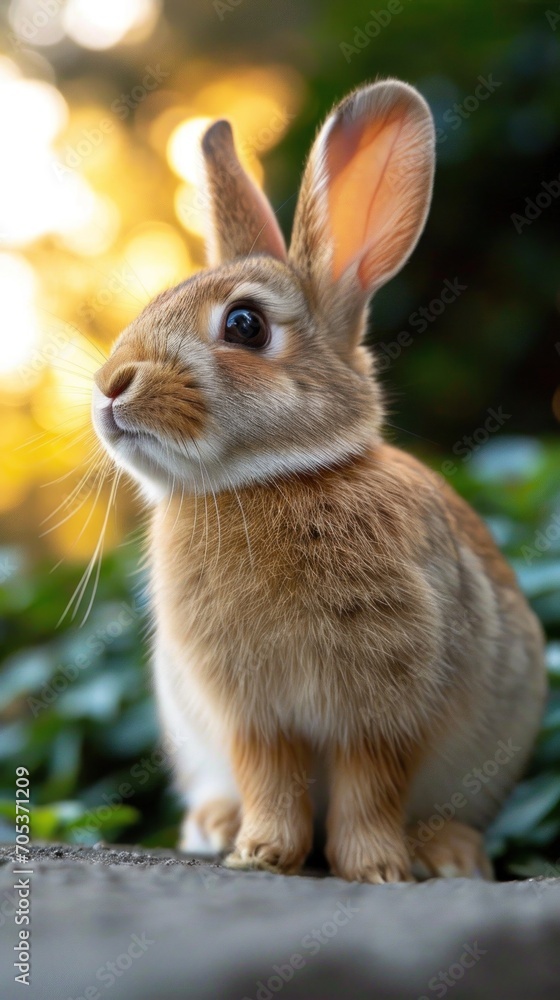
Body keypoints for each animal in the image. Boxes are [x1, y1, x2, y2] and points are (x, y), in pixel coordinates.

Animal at [92, 79, 546, 883]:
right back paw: (213, 827)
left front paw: (377, 869)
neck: (271, 480)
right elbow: (269, 777)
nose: (111, 385)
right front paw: (261, 854)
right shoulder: (251, 714)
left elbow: (371, 786)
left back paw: (450, 856)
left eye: (244, 324)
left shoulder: (382, 707)